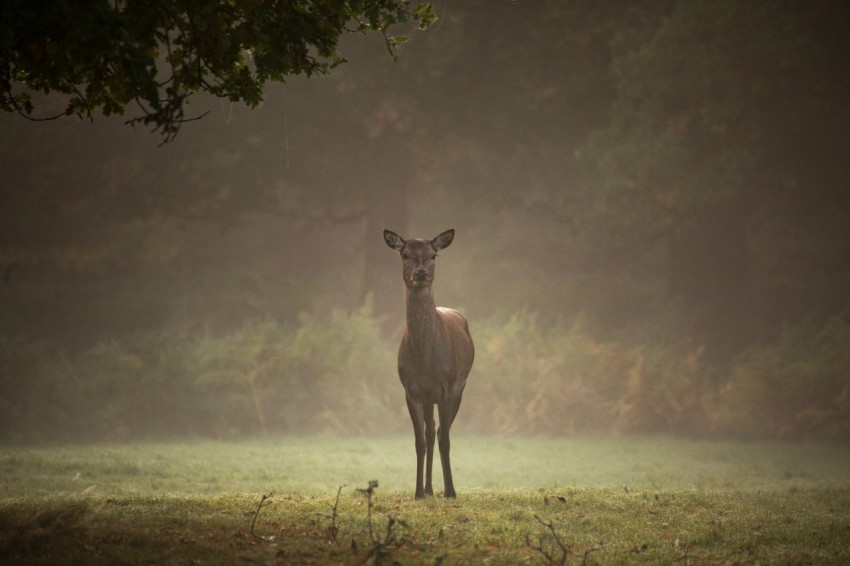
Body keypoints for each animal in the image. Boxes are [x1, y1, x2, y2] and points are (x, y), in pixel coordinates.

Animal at [382, 229, 474, 500]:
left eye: (433, 255)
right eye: (405, 254)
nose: (421, 272)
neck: (426, 360)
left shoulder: (448, 387)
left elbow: (445, 439)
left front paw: (451, 491)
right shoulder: (411, 390)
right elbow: (419, 442)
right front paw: (418, 492)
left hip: (460, 387)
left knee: (442, 432)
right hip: (429, 399)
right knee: (431, 432)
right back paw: (430, 488)